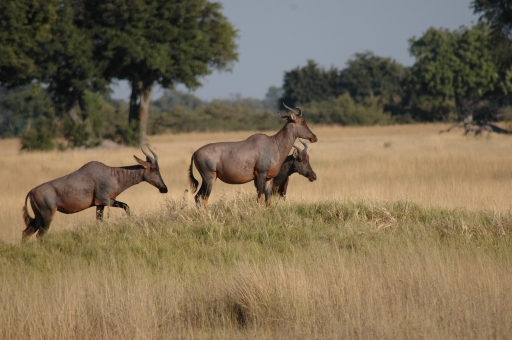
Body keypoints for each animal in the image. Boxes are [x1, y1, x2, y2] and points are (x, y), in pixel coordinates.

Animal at [22, 147, 167, 240]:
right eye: (153, 169)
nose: (164, 189)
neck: (111, 174)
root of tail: (32, 191)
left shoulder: (99, 204)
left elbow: (99, 222)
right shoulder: (105, 200)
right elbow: (126, 206)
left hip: (38, 217)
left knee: (26, 233)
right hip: (47, 215)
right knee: (40, 235)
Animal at [188, 103, 316, 206]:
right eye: (303, 122)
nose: (314, 137)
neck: (273, 144)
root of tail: (195, 153)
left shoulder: (269, 178)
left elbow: (268, 200)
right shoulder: (260, 175)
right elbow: (259, 198)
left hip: (206, 180)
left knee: (197, 197)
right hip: (209, 178)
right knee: (204, 198)